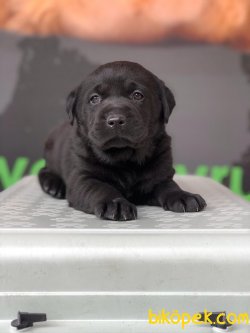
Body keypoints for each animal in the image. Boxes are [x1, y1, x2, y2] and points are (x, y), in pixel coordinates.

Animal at [38, 60, 206, 219]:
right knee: (43, 170)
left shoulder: (160, 174)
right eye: (94, 98)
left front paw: (183, 196)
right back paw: (53, 186)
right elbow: (100, 188)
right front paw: (115, 204)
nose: (116, 120)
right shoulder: (82, 178)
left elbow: (169, 186)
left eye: (137, 95)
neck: (124, 157)